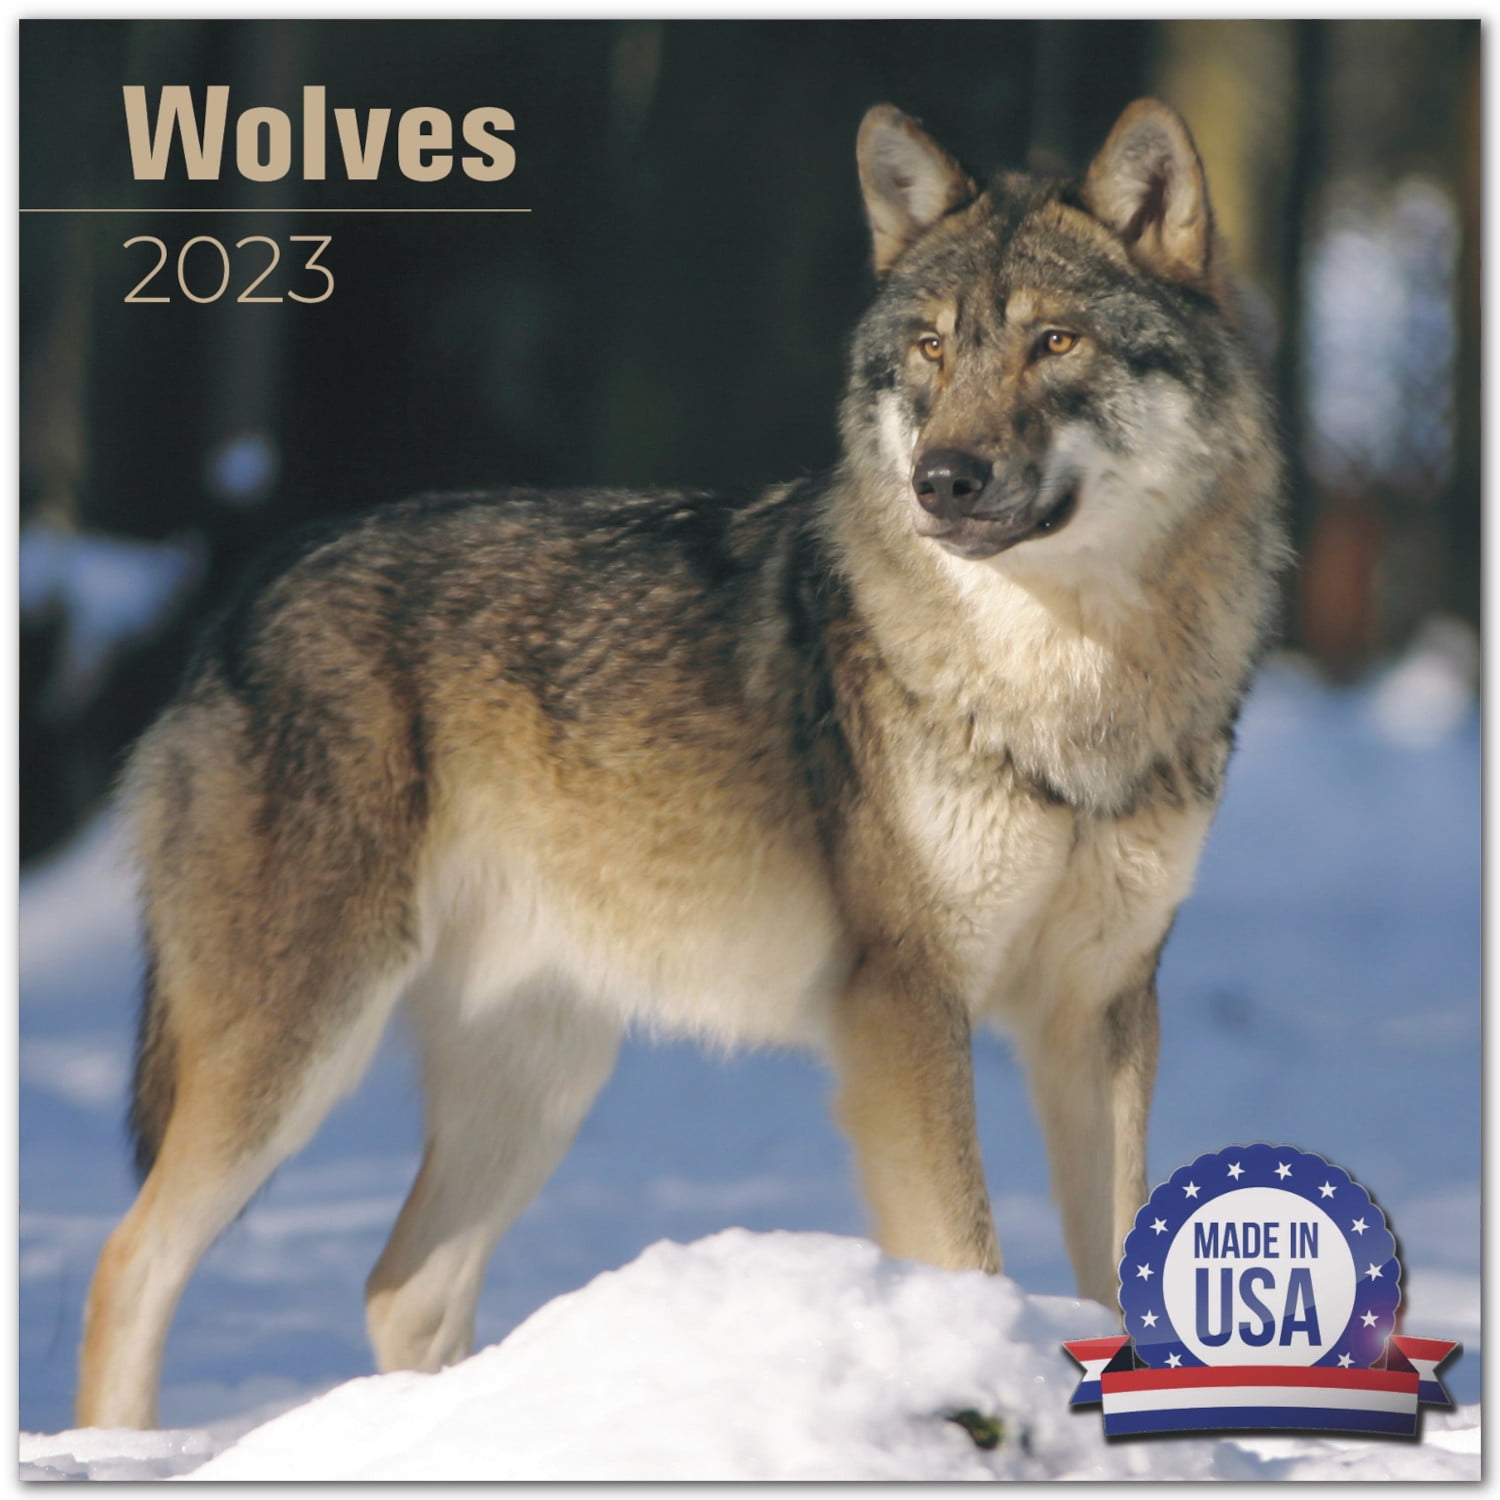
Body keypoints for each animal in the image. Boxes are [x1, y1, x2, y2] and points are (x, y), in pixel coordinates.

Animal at [76, 97, 1286, 1428]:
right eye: (929, 350)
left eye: (1055, 341)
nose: (942, 480)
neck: (1065, 684)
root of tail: (245, 595)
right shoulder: (906, 1005)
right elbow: (968, 1251)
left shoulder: (1102, 1012)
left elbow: (1126, 1263)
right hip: (298, 1050)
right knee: (130, 1258)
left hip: (539, 1077)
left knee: (402, 1286)